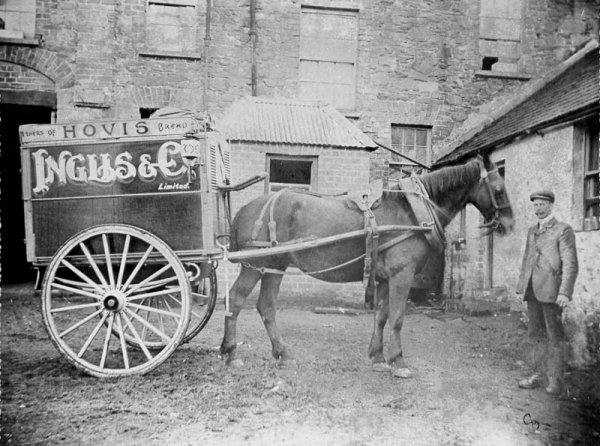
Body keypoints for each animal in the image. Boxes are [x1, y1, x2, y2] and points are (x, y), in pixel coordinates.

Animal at [220, 155, 516, 378]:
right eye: (498, 189)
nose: (509, 224)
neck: (411, 211)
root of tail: (247, 208)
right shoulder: (402, 275)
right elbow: (397, 318)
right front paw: (398, 361)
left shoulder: (385, 277)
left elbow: (382, 316)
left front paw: (378, 356)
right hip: (254, 266)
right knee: (235, 300)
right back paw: (231, 352)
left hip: (274, 267)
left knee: (266, 307)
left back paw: (283, 353)